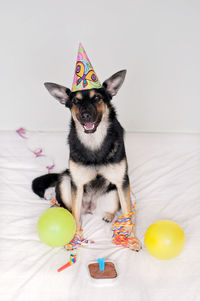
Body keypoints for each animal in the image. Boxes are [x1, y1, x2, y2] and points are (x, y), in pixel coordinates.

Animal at [32, 69, 141, 250]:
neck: (94, 142)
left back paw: (108, 215)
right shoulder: (77, 184)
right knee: (71, 210)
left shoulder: (122, 182)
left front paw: (131, 239)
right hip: (65, 182)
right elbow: (75, 216)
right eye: (76, 101)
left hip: (114, 194)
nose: (85, 115)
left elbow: (127, 215)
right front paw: (73, 239)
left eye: (97, 98)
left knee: (114, 208)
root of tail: (90, 207)